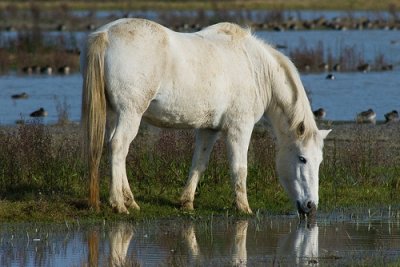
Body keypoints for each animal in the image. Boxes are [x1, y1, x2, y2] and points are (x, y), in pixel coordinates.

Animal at [79, 18, 330, 216]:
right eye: (302, 159)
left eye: (320, 161)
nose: (311, 206)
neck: (255, 67)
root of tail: (106, 34)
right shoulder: (240, 128)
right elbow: (240, 167)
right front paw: (244, 207)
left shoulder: (209, 129)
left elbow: (198, 163)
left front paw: (186, 202)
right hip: (130, 113)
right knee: (118, 147)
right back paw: (119, 204)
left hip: (115, 114)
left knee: (114, 148)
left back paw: (130, 201)